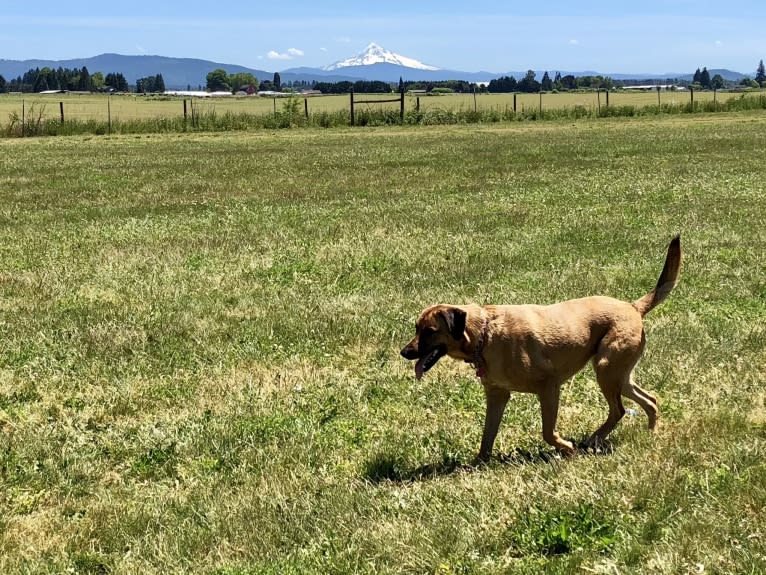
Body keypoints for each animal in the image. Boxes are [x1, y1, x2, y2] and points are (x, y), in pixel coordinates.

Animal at [402, 236, 684, 462]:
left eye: (429, 331)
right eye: (416, 328)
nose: (404, 352)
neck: (484, 334)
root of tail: (633, 306)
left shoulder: (549, 386)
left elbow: (547, 432)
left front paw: (566, 447)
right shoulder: (497, 395)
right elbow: (487, 435)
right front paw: (478, 463)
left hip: (606, 369)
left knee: (619, 410)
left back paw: (591, 441)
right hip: (619, 374)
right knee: (650, 400)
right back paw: (650, 433)